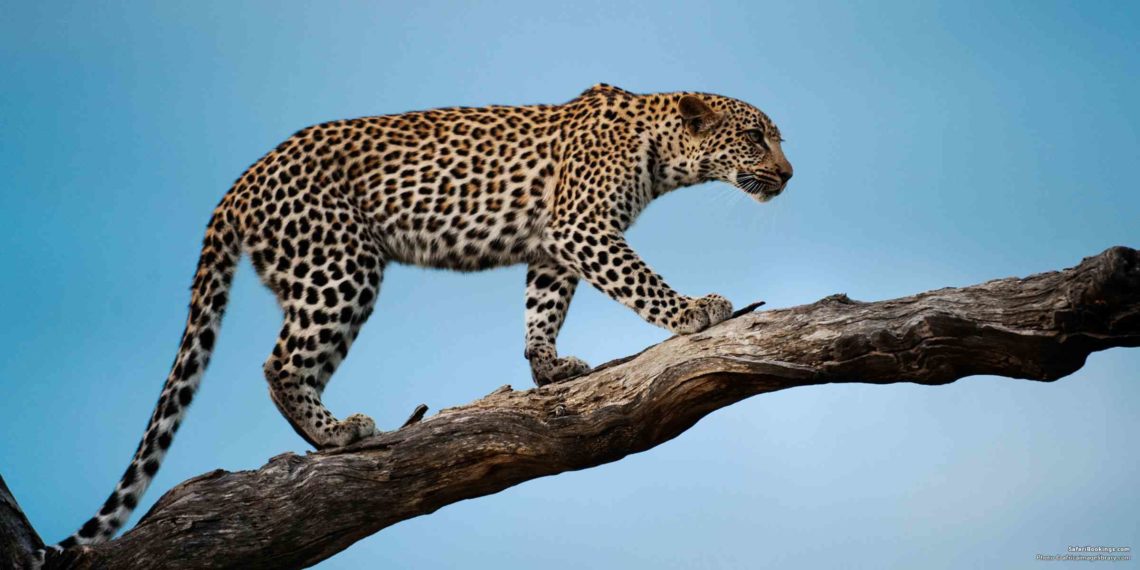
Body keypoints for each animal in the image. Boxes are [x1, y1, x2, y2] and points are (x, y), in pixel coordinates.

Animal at [59, 83, 792, 547]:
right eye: (755, 138)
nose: (789, 175)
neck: (662, 148)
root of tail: (238, 185)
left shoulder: (554, 243)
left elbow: (541, 306)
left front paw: (549, 369)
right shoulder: (582, 227)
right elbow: (636, 279)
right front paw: (694, 310)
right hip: (340, 266)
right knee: (278, 363)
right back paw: (338, 435)